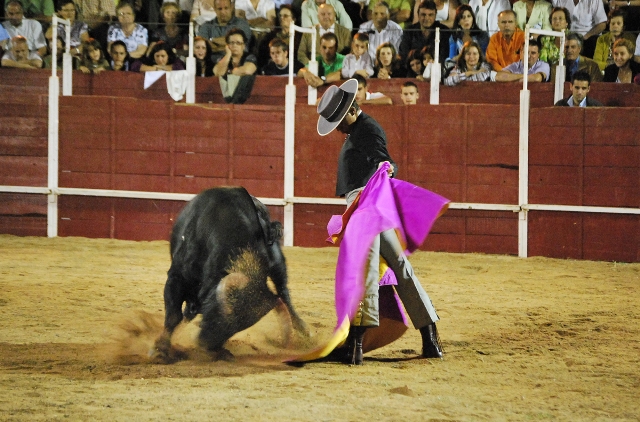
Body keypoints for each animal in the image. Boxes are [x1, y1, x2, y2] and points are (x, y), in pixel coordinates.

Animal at [152, 186, 308, 358]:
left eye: (238, 328)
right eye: (216, 313)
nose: (208, 345)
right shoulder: (176, 277)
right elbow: (173, 316)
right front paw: (160, 349)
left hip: (278, 264)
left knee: (283, 291)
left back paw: (304, 332)